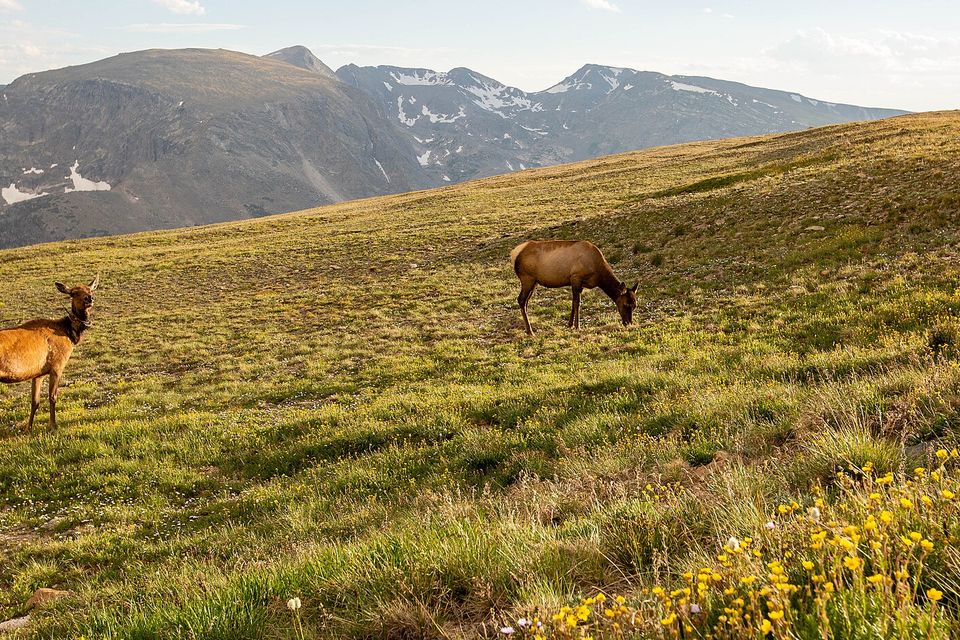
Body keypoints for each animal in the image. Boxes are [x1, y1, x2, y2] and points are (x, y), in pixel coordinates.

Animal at [0, 275, 99, 430]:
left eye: (90, 289)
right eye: (73, 293)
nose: (89, 298)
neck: (70, 335)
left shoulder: (37, 373)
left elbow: (35, 402)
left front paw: (29, 428)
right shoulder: (57, 366)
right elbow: (53, 397)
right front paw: (53, 425)